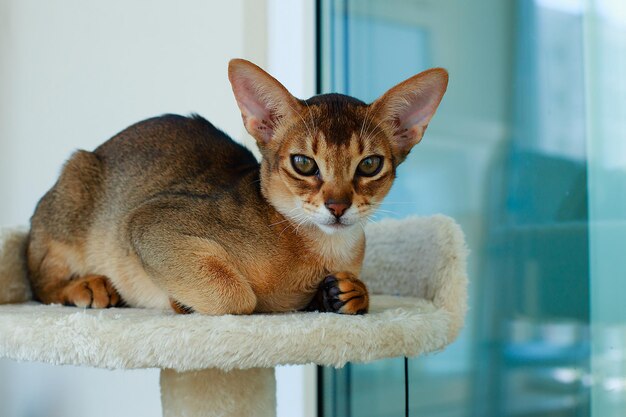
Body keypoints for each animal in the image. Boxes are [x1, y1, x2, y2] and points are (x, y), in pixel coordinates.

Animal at [24, 59, 446, 316]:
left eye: (370, 165)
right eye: (304, 163)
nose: (338, 206)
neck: (318, 249)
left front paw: (352, 293)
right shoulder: (148, 222)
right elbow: (238, 297)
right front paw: (183, 304)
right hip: (75, 190)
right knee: (38, 281)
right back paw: (87, 286)